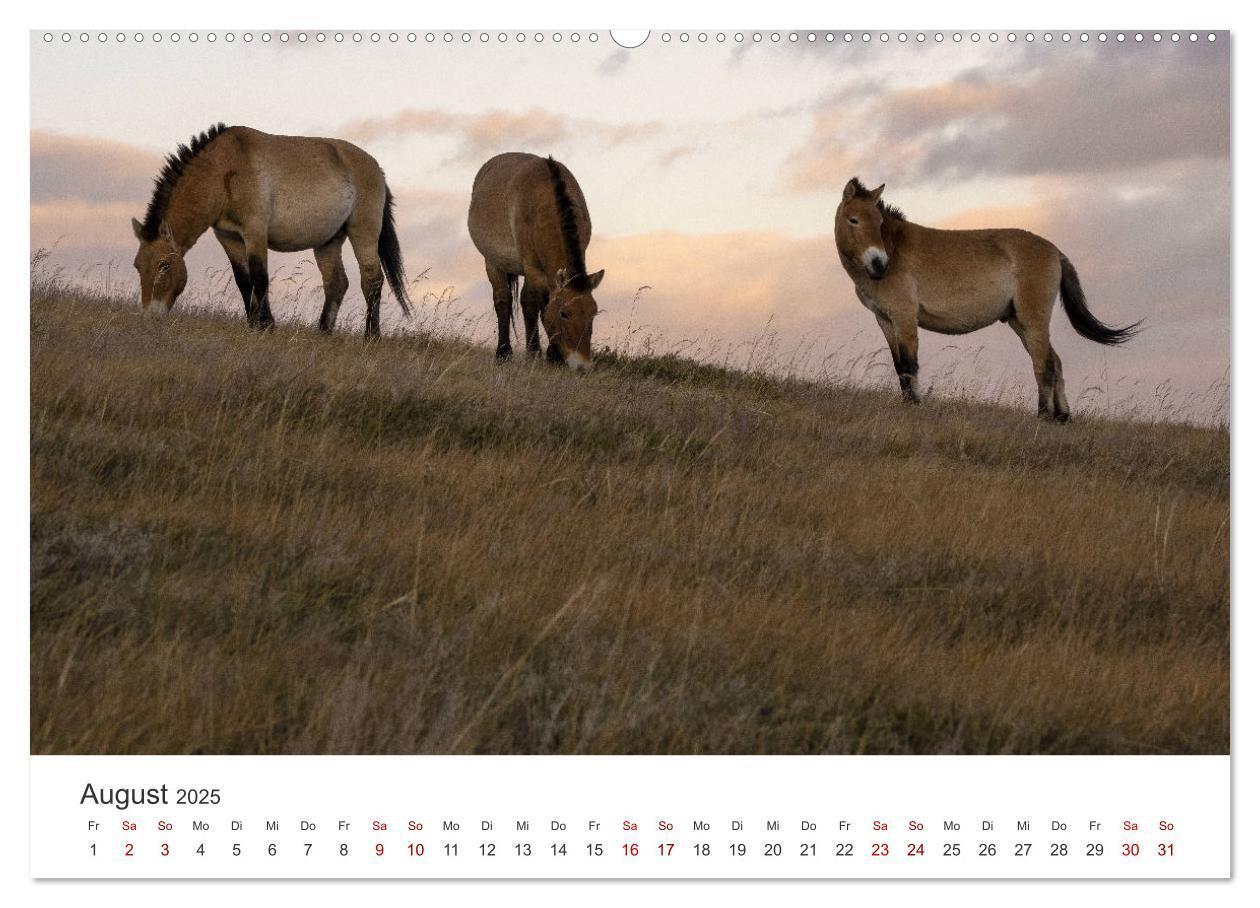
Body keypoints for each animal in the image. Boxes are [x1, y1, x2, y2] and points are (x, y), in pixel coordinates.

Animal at [130, 122, 410, 337]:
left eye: (164, 265)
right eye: (138, 266)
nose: (150, 316)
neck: (224, 170)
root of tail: (377, 169)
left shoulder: (255, 232)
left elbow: (260, 277)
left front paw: (266, 326)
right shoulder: (229, 237)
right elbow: (243, 281)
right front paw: (253, 324)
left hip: (364, 232)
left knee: (372, 280)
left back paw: (371, 336)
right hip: (328, 241)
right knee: (337, 283)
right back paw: (323, 333)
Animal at [468, 154, 604, 370]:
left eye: (593, 313)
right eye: (564, 313)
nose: (582, 366)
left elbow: (538, 305)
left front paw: (551, 355)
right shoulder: (532, 269)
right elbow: (534, 304)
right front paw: (537, 353)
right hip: (493, 263)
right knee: (503, 301)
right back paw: (504, 353)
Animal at [836, 177, 1144, 420]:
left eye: (878, 222)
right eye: (854, 220)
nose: (879, 264)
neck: (895, 249)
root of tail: (1055, 251)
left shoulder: (904, 317)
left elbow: (910, 364)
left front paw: (916, 406)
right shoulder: (885, 320)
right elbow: (899, 366)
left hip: (1033, 320)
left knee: (1043, 364)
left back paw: (1043, 416)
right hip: (1019, 321)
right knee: (1054, 361)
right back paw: (1062, 417)